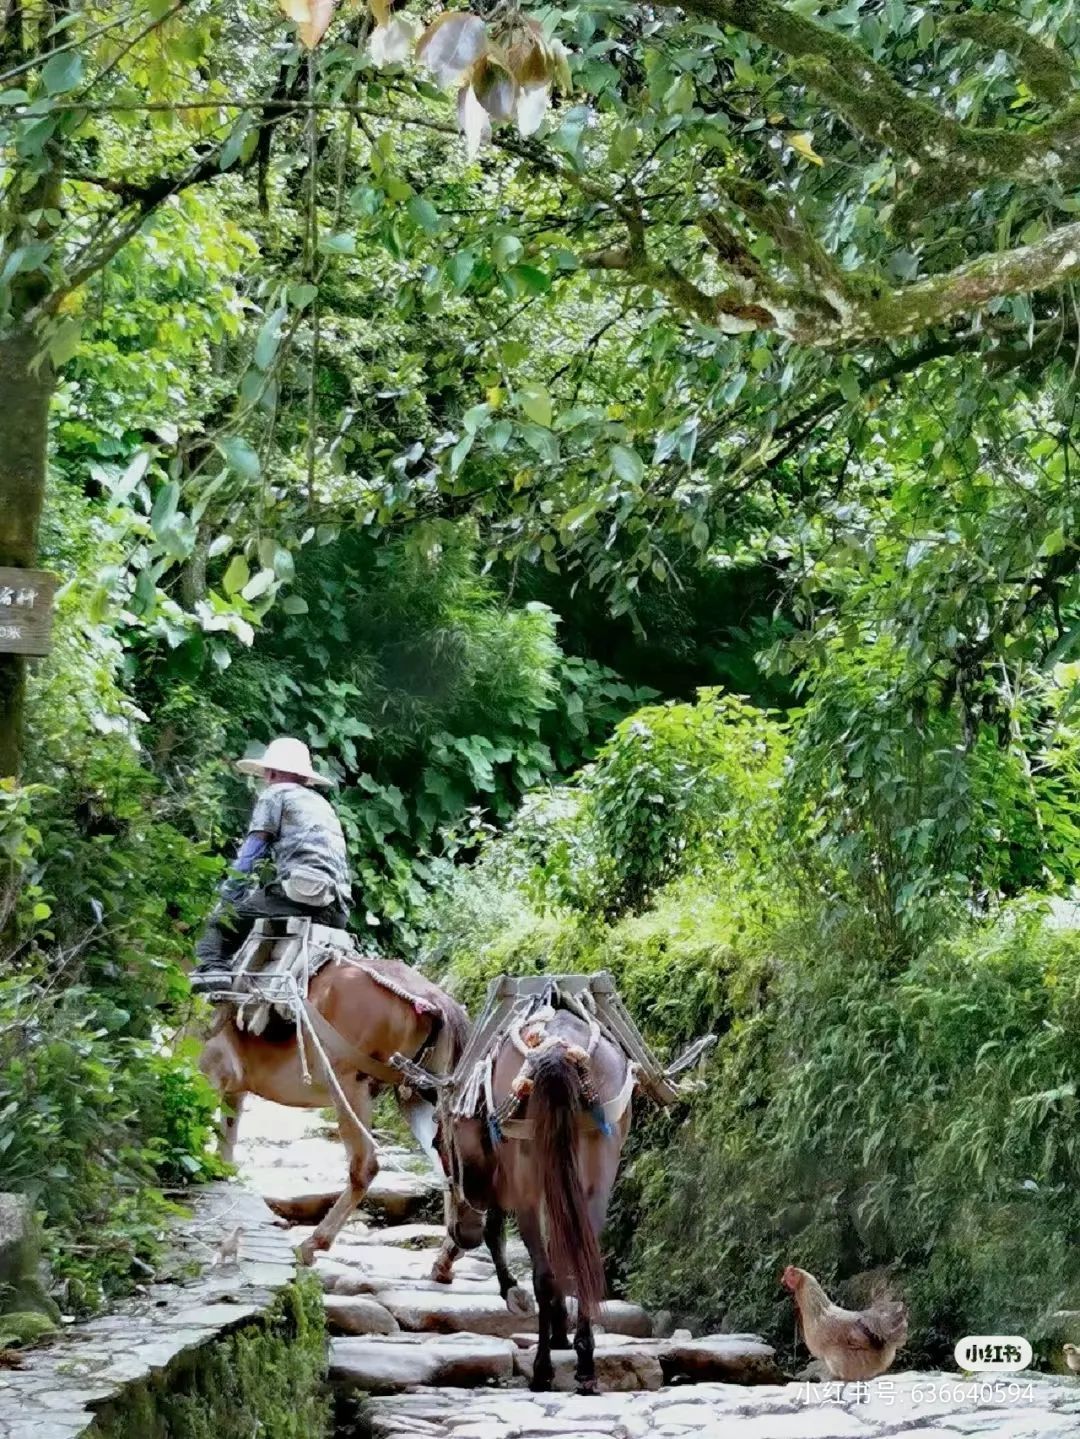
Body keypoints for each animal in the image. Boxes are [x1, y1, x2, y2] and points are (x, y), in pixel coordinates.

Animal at [201, 961, 471, 1266]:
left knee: (365, 1167)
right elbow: (226, 1142)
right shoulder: (234, 1089)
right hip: (418, 1093)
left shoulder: (210, 1070)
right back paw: (447, 1256)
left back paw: (312, 1244)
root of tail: (433, 998)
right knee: (448, 1165)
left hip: (347, 1086)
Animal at [434, 1013, 632, 1392]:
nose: (459, 1232)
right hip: (595, 1183)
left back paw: (543, 1369)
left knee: (544, 1274)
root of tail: (556, 1049)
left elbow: (498, 1231)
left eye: (442, 1144)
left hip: (528, 1186)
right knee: (581, 1262)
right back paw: (585, 1364)